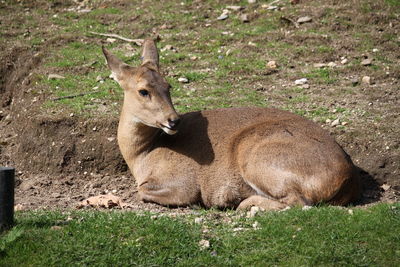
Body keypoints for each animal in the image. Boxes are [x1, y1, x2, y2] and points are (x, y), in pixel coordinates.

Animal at [101, 39, 360, 211]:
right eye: (143, 90)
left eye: (168, 86)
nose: (173, 120)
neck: (143, 155)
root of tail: (346, 177)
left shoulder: (183, 182)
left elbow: (145, 191)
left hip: (258, 156)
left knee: (299, 202)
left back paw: (242, 202)